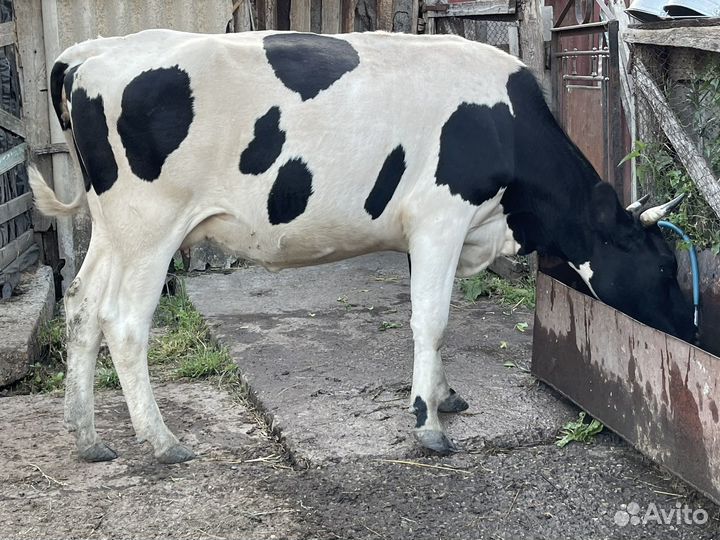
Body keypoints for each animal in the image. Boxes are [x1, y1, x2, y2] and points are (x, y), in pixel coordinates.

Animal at [29, 29, 694, 463]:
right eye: (665, 265)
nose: (684, 330)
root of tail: (91, 52)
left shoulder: (427, 232)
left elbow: (434, 319)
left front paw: (444, 395)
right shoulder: (440, 217)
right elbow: (431, 318)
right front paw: (427, 425)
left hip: (111, 228)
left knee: (81, 306)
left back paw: (87, 436)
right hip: (150, 226)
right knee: (123, 320)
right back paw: (162, 441)